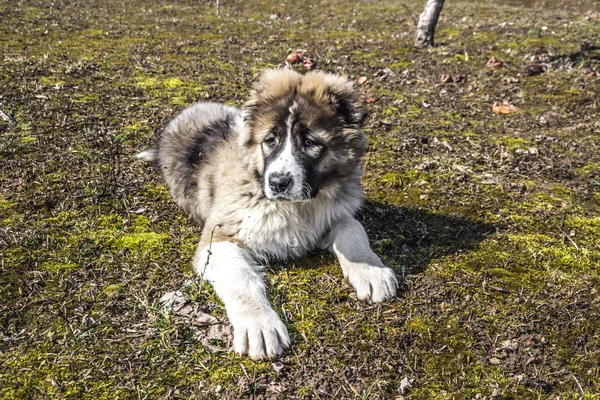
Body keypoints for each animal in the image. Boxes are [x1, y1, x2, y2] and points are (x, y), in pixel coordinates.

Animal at [137, 70, 398, 360]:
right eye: (270, 141)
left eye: (310, 142)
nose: (277, 183)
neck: (297, 207)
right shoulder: (219, 239)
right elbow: (242, 279)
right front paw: (259, 324)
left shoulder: (332, 214)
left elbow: (352, 228)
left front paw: (371, 270)